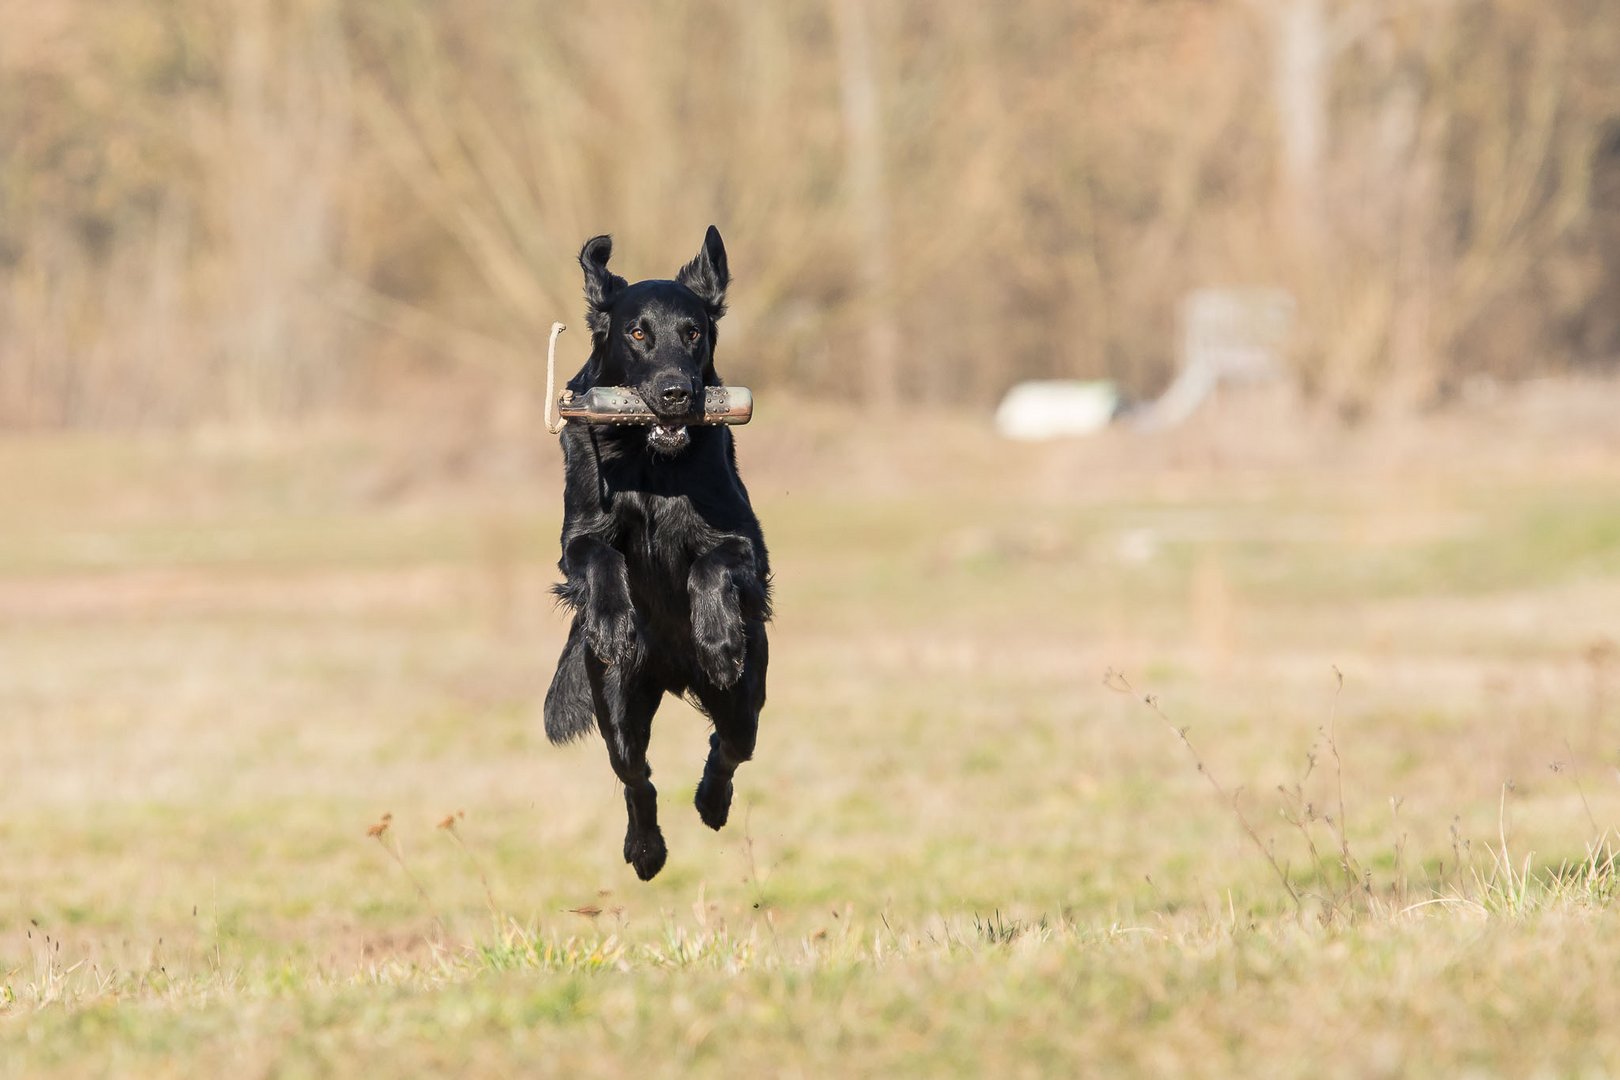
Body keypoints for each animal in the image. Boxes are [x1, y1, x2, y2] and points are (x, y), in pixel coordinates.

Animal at [544, 226, 771, 880]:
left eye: (693, 332)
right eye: (638, 333)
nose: (675, 394)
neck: (652, 461)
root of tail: (671, 675)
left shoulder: (747, 546)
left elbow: (712, 565)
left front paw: (716, 636)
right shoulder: (575, 539)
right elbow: (601, 558)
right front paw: (615, 622)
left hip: (746, 698)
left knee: (729, 746)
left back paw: (711, 802)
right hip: (616, 702)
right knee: (634, 776)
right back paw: (645, 850)